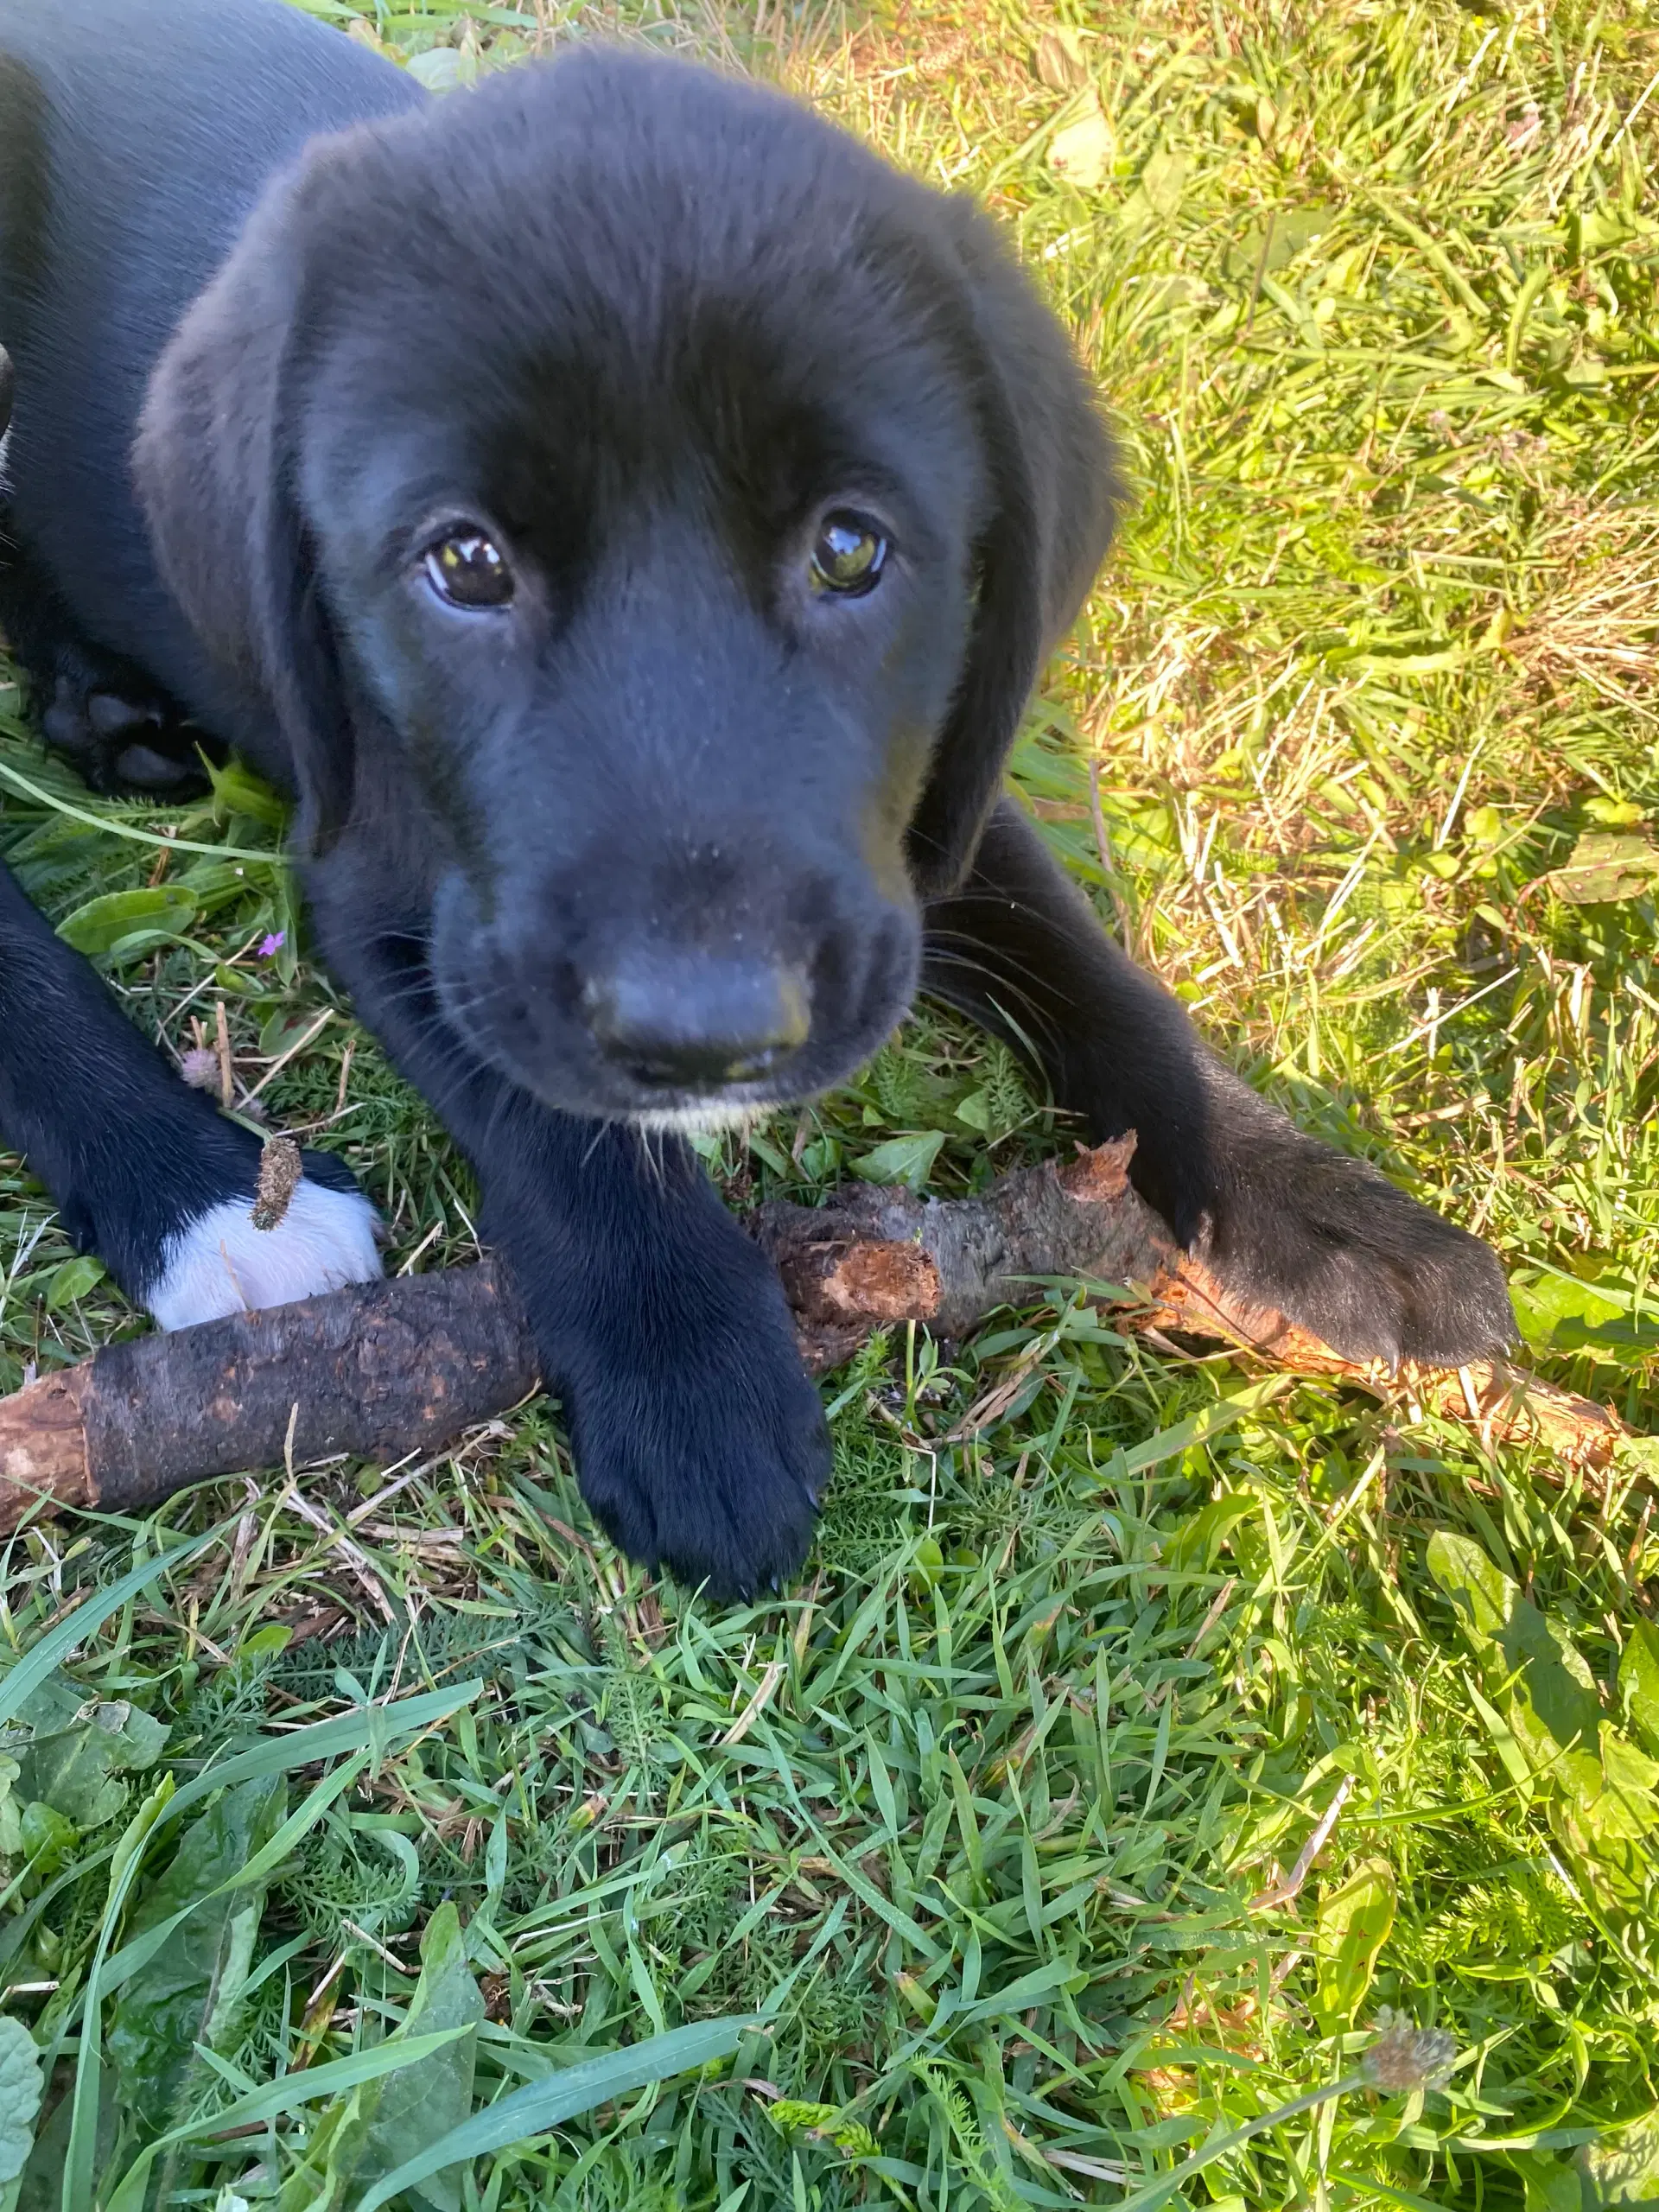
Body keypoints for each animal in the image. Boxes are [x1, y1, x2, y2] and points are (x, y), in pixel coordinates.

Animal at [0, 0, 1522, 1592]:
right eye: (463, 563)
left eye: (853, 549)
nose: (708, 1037)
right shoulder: (392, 884)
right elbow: (560, 1123)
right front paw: (693, 1376)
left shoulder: (924, 813)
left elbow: (1108, 983)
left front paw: (1317, 1205)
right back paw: (203, 1197)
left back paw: (100, 705)